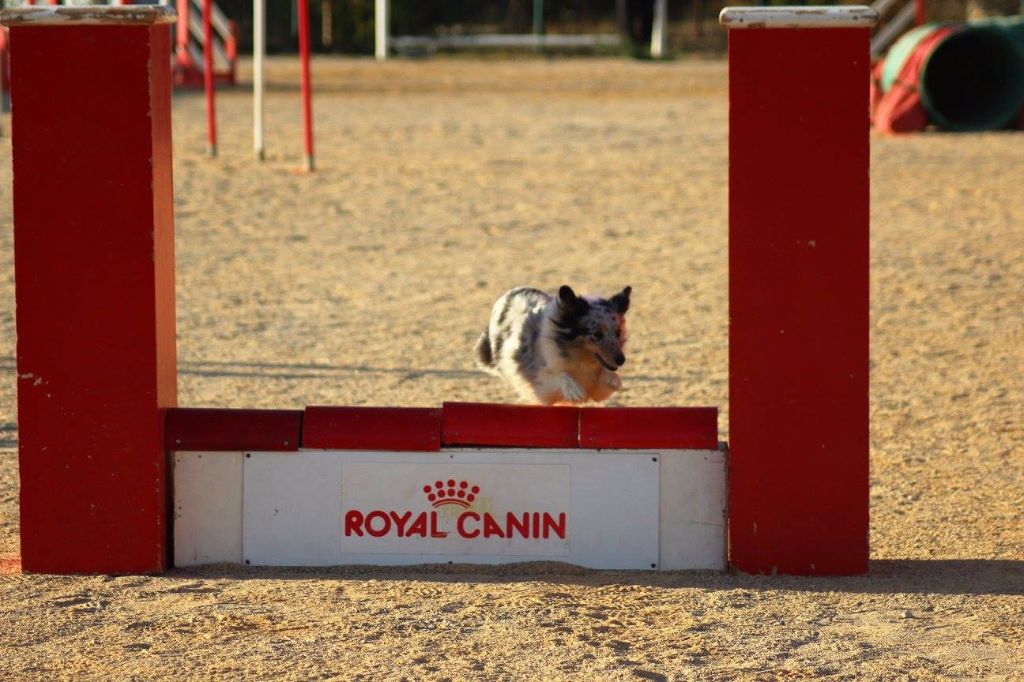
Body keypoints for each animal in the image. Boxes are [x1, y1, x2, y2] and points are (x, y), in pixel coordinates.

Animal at [473, 282, 630, 403]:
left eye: (617, 332)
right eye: (597, 334)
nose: (621, 360)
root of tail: (510, 292)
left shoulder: (596, 388)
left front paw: (613, 379)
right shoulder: (538, 383)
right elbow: (557, 376)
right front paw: (574, 391)